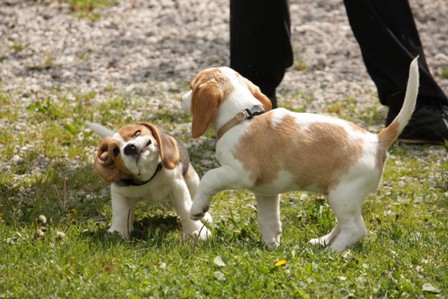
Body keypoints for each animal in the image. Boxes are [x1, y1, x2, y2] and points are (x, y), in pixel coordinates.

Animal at [181, 57, 420, 252]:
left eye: (192, 87)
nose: (181, 98)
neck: (242, 117)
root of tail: (377, 140)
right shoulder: (266, 192)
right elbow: (268, 219)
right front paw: (272, 245)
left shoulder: (239, 173)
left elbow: (209, 177)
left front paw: (197, 210)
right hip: (345, 198)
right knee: (343, 225)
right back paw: (322, 241)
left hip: (342, 195)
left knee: (356, 229)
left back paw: (331, 252)